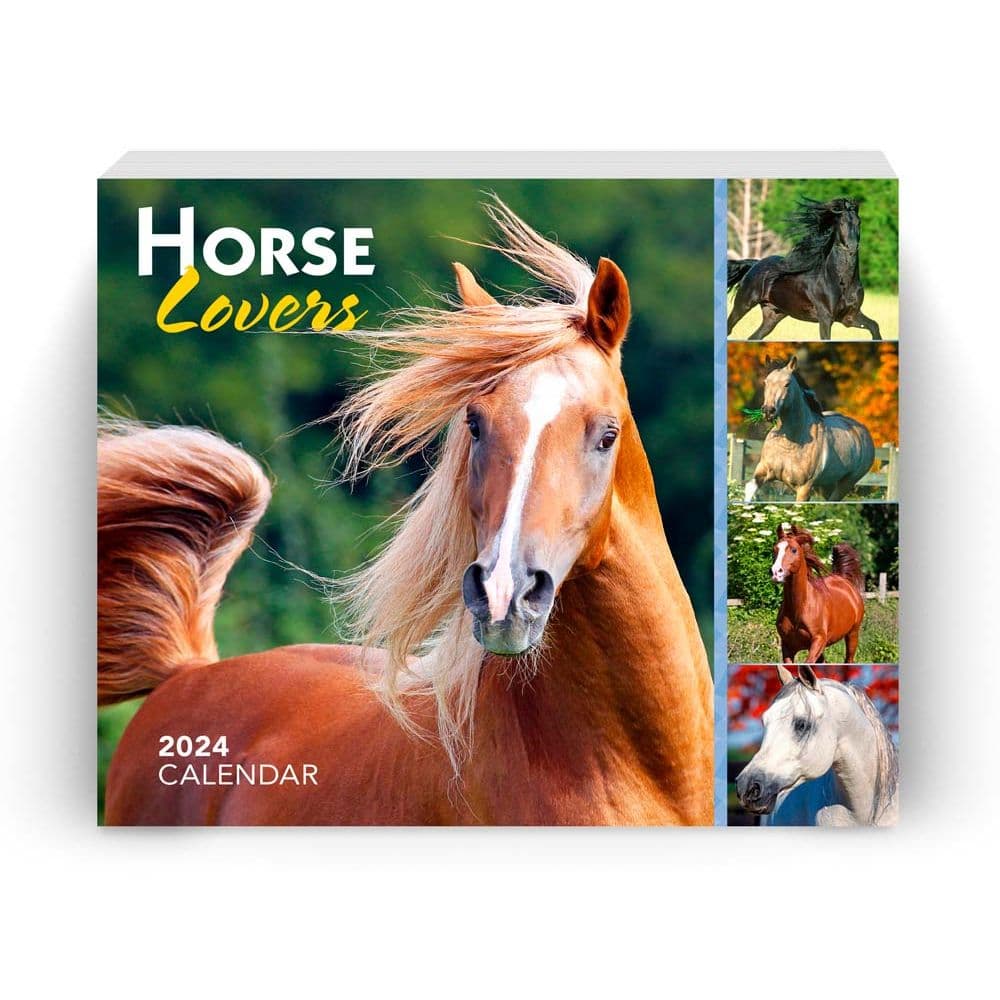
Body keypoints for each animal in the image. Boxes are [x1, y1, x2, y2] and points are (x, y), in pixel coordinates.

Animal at [727, 197, 882, 341]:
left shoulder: (850, 316)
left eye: (858, 222)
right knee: (729, 327)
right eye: (842, 223)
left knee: (753, 337)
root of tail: (756, 264)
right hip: (743, 304)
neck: (841, 282)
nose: (852, 246)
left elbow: (874, 326)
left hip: (773, 315)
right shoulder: (826, 318)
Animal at [743, 354, 875, 502]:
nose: (768, 411)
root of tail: (864, 433)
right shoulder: (762, 471)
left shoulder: (804, 488)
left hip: (846, 483)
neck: (791, 442)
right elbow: (749, 490)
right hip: (826, 486)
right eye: (766, 382)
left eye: (787, 384)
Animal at [770, 524, 865, 664]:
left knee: (849, 659)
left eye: (794, 550)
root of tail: (843, 579)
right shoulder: (787, 646)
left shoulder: (818, 640)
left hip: (853, 634)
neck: (799, 608)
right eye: (774, 549)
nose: (776, 572)